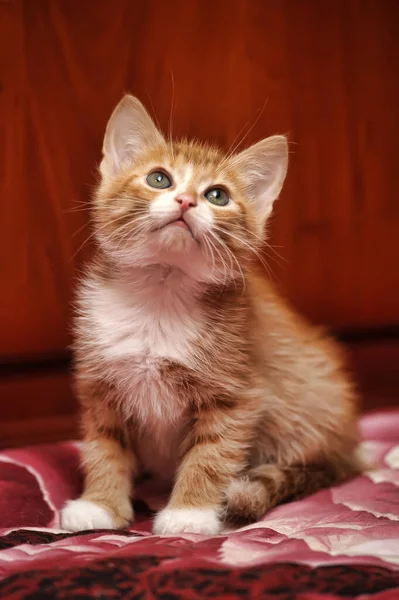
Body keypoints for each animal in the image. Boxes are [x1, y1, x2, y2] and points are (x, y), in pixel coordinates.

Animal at [60, 96, 362, 536]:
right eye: (159, 179)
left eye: (217, 195)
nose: (186, 201)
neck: (160, 297)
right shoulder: (100, 384)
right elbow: (104, 445)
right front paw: (99, 503)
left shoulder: (236, 393)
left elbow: (211, 453)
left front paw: (190, 513)